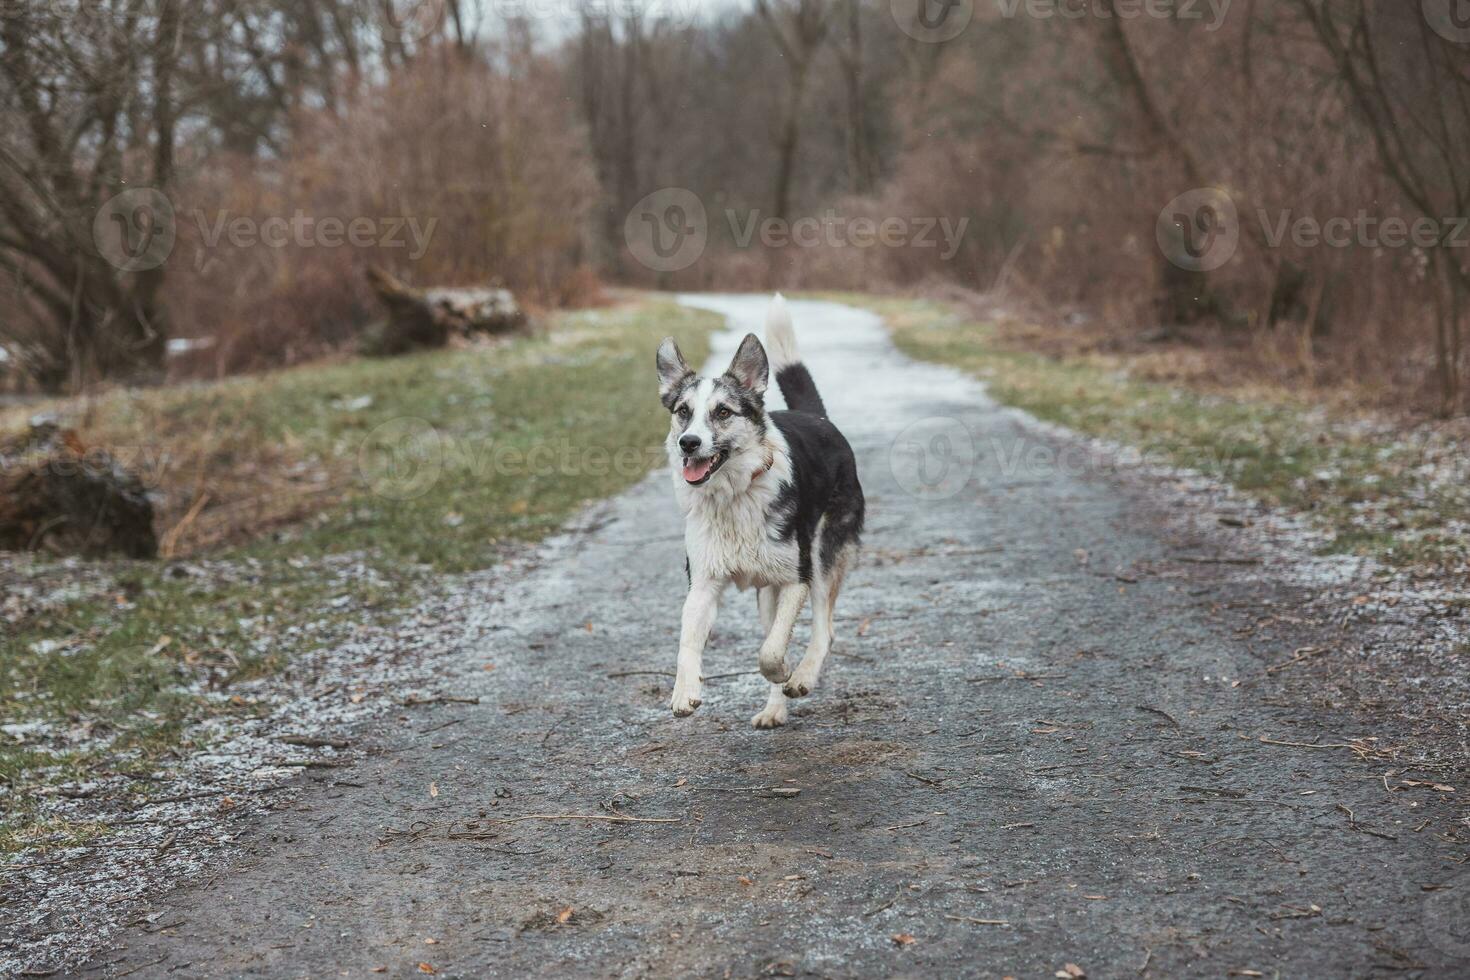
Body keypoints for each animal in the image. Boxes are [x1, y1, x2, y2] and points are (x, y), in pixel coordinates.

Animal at [655, 290, 858, 728]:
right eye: (683, 412)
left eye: (723, 412)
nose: (688, 443)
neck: (734, 495)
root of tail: (817, 417)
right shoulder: (703, 583)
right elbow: (686, 640)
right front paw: (684, 691)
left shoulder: (796, 579)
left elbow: (770, 652)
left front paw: (785, 672)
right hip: (768, 591)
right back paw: (774, 710)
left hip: (823, 555)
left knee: (824, 628)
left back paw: (801, 676)